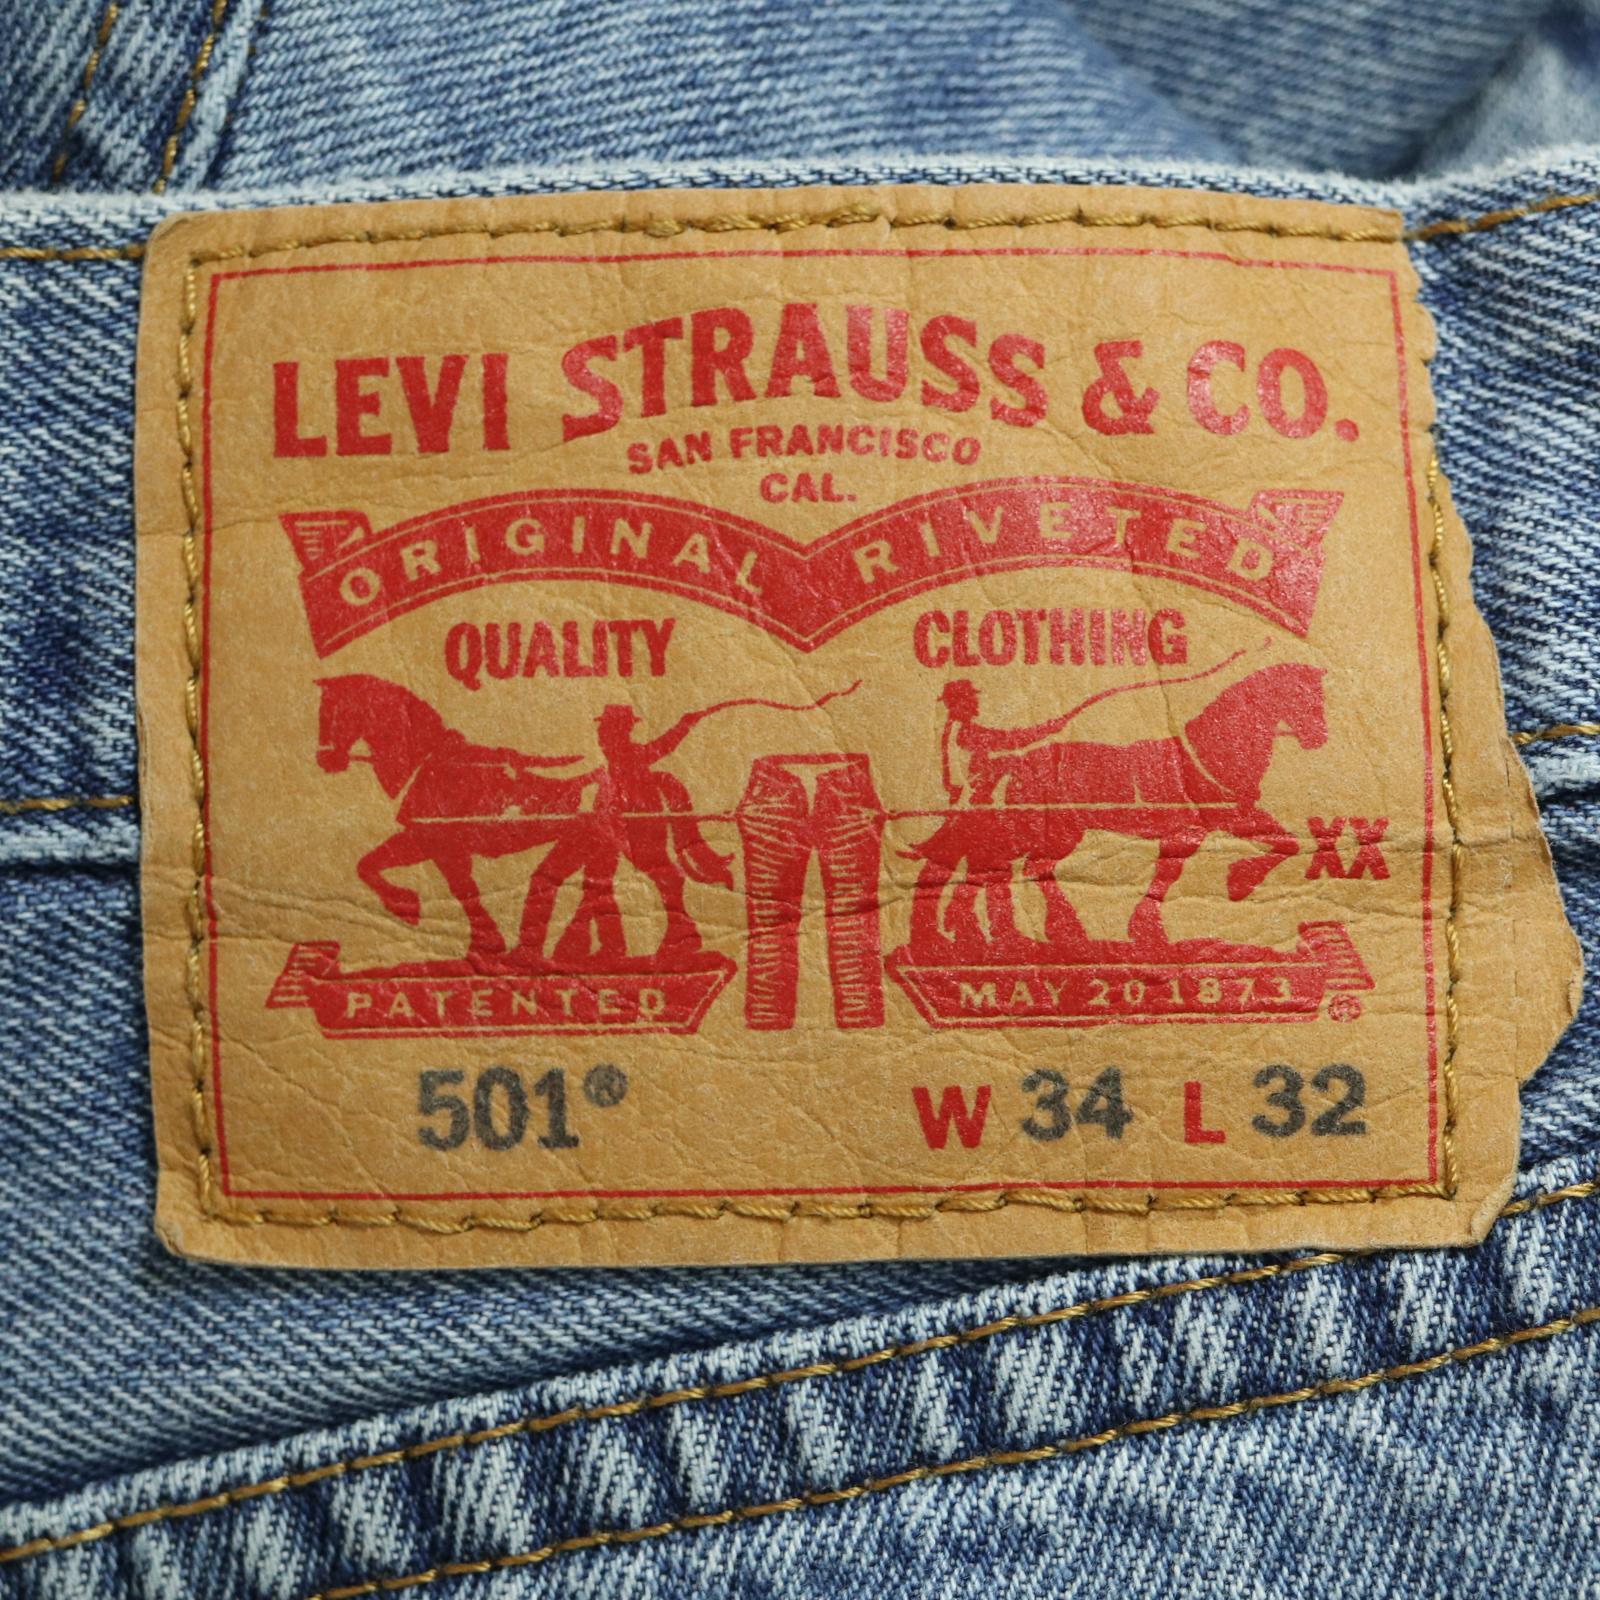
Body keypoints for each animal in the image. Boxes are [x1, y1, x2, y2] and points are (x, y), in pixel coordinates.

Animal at [315, 675, 596, 962]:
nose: (326, 760)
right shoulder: (421, 840)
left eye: (334, 714)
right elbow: (368, 864)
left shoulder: (447, 847)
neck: (431, 763)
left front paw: (487, 943)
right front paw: (408, 905)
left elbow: (464, 890)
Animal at [908, 662, 1327, 955]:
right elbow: (1286, 842)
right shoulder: (1230, 817)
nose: (1318, 738)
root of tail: (1017, 762)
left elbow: (1169, 872)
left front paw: (1148, 930)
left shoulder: (1186, 832)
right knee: (1009, 867)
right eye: (1309, 698)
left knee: (1007, 868)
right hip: (1052, 831)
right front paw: (1239, 883)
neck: (1212, 752)